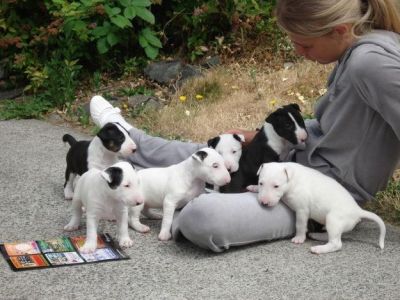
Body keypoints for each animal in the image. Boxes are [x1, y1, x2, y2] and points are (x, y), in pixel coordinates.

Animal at [248, 163, 386, 254]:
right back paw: (317, 236)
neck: (292, 179)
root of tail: (358, 210)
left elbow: (300, 225)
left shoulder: (302, 210)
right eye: (261, 183)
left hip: (333, 219)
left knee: (336, 243)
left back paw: (319, 249)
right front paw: (253, 187)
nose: (264, 203)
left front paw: (299, 238)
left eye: (276, 186)